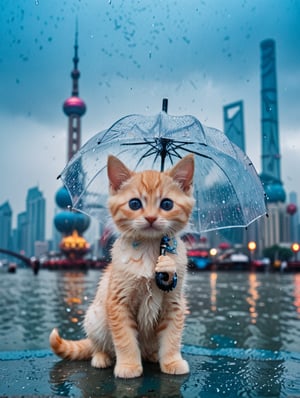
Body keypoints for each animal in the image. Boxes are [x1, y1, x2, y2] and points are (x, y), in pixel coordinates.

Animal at [49, 153, 195, 380]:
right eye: (134, 204)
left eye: (167, 204)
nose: (151, 217)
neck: (150, 250)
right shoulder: (118, 302)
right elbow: (125, 339)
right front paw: (128, 365)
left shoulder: (174, 303)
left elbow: (172, 336)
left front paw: (172, 361)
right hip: (96, 317)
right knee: (97, 345)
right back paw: (101, 357)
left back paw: (153, 355)